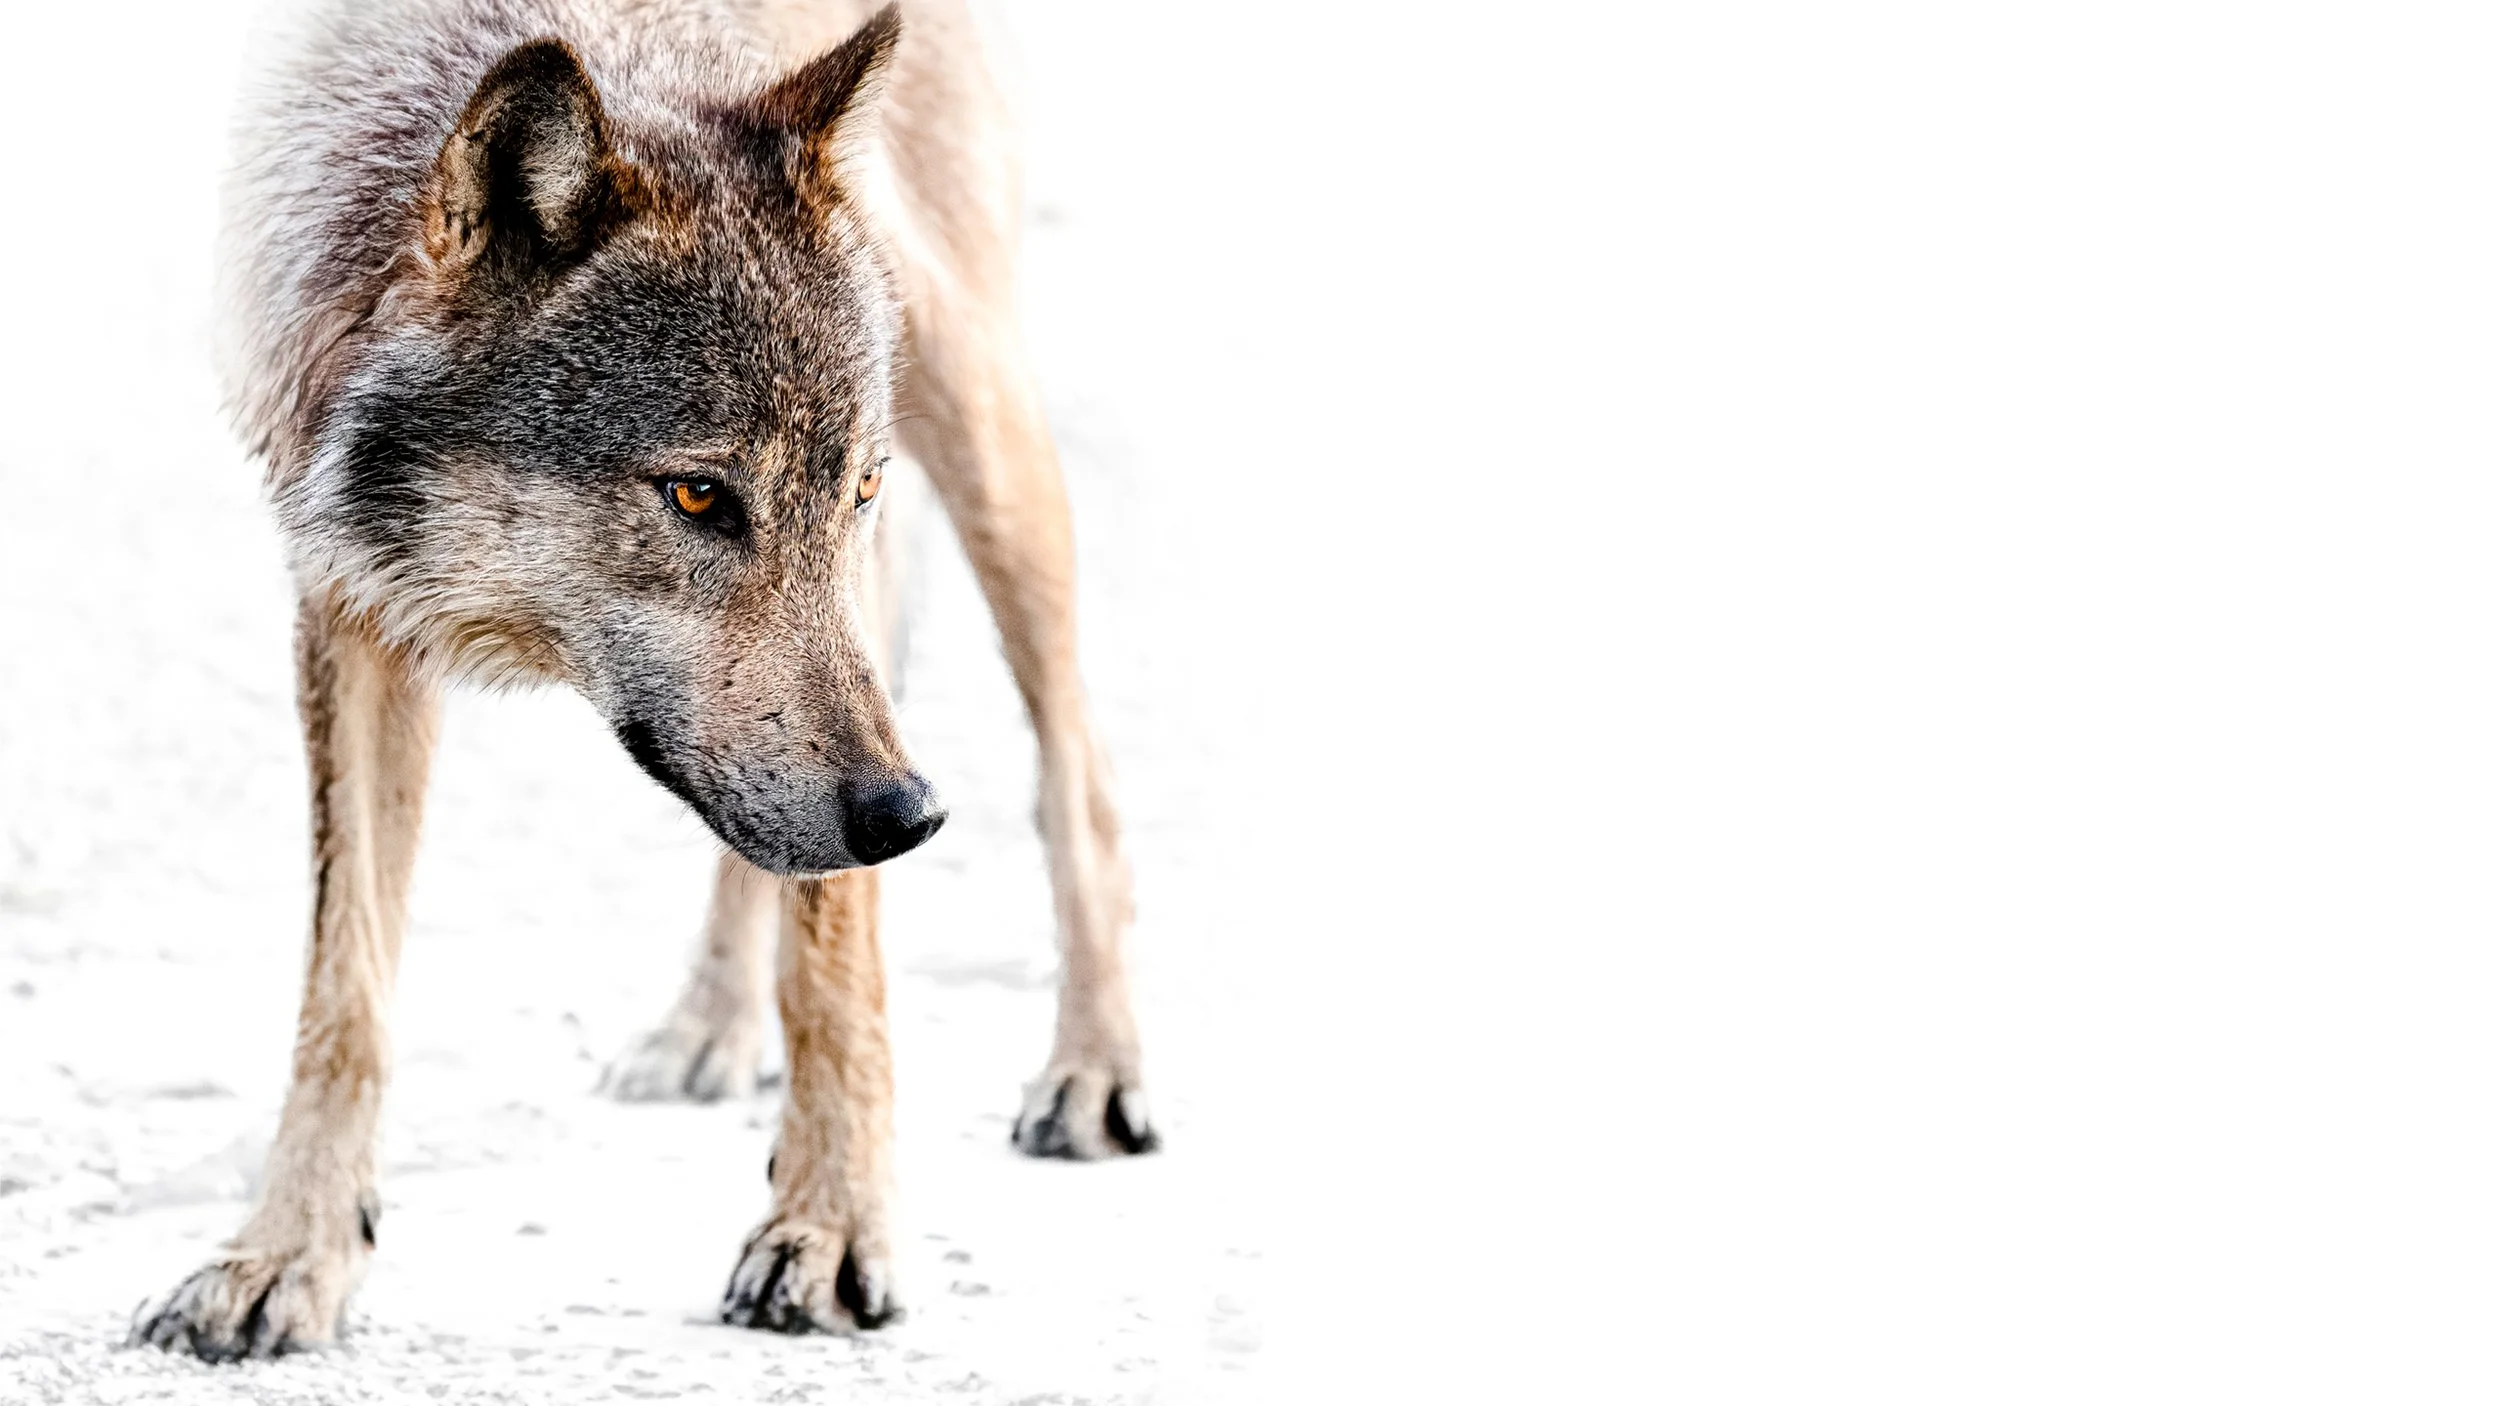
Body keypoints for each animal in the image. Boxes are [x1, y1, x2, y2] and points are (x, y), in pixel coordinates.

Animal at [128, 0, 1152, 1360]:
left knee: (1076, 772)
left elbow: (838, 963)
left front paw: (831, 1227)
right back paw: (707, 1025)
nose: (910, 816)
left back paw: (1095, 1069)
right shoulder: (346, 594)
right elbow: (344, 987)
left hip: (979, 409)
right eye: (700, 495)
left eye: (857, 490)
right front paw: (288, 1253)